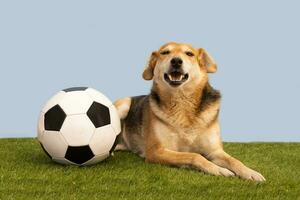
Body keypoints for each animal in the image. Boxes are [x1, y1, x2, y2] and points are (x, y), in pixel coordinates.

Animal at [112, 42, 264, 183]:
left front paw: (250, 172)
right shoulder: (156, 151)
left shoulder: (214, 151)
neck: (182, 103)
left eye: (189, 54)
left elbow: (234, 160)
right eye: (165, 52)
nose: (176, 61)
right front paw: (219, 170)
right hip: (124, 104)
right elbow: (194, 156)